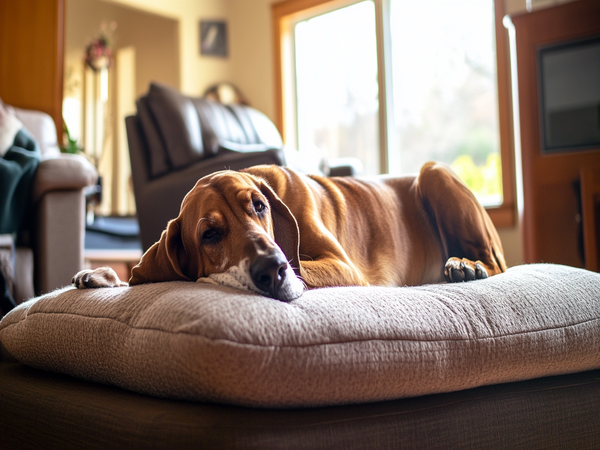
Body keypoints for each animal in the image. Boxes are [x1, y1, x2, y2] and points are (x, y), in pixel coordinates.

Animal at [74, 163, 506, 302]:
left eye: (259, 206)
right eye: (209, 234)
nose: (272, 271)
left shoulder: (344, 266)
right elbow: (140, 273)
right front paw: (101, 275)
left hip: (434, 172)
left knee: (500, 264)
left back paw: (466, 265)